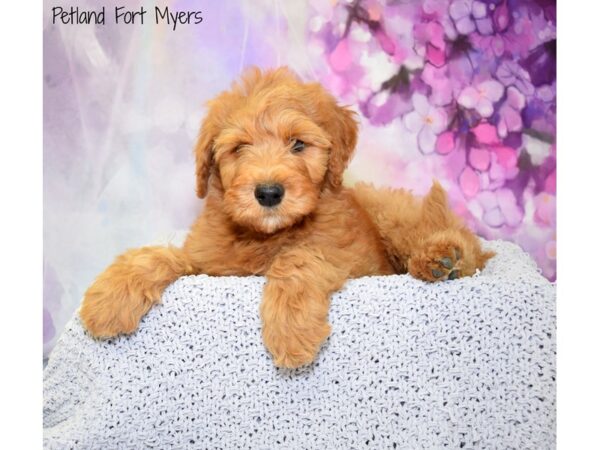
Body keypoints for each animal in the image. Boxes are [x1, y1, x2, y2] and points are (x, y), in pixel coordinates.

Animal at [79, 67, 492, 370]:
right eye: (239, 148)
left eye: (298, 144)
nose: (268, 193)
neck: (265, 236)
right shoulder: (209, 262)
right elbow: (161, 255)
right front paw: (109, 296)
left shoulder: (344, 253)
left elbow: (298, 259)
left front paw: (292, 330)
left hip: (390, 213)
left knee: (465, 245)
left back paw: (442, 258)